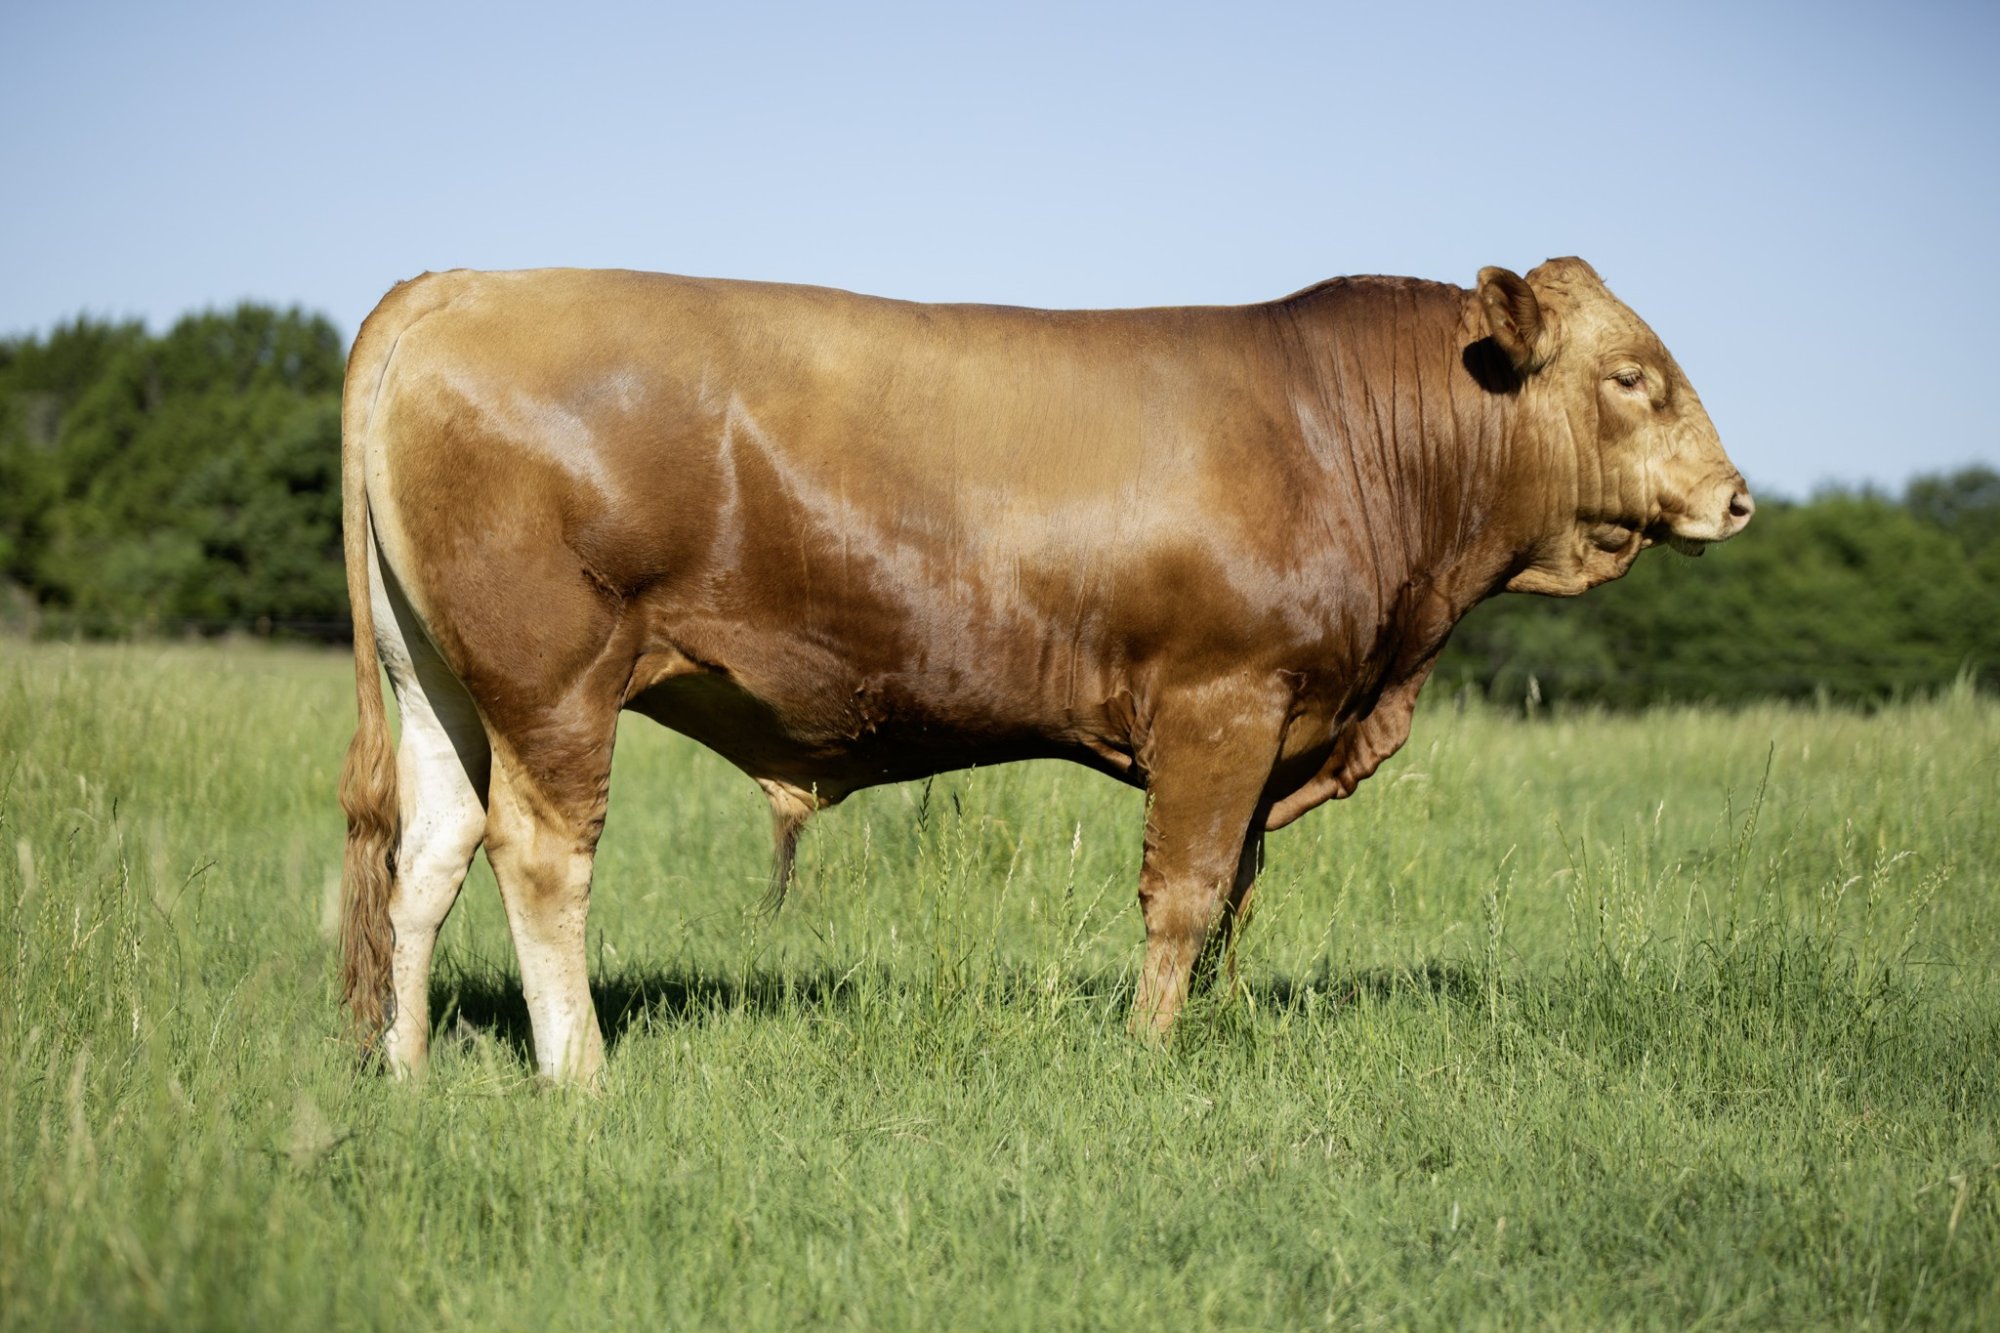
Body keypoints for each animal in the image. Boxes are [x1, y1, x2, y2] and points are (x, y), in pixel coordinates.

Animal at [337, 258, 1752, 1082]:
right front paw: (1144, 1054)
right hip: (552, 676)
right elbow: (1185, 894)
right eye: (1631, 375)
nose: (1735, 497)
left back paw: (405, 1069)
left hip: (442, 684)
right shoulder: (1222, 702)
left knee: (429, 853)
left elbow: (1234, 900)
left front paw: (1208, 1032)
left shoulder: (1271, 727)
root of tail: (460, 283)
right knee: (539, 854)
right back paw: (577, 1074)